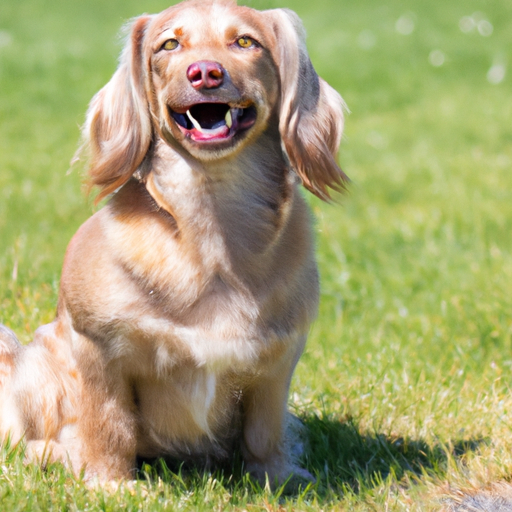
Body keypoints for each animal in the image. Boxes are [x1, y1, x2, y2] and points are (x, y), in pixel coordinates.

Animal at [0, 0, 348, 486]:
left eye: (246, 42)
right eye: (169, 45)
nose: (205, 73)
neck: (212, 216)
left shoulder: (279, 359)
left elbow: (265, 430)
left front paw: (277, 478)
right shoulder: (97, 349)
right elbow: (109, 424)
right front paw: (113, 486)